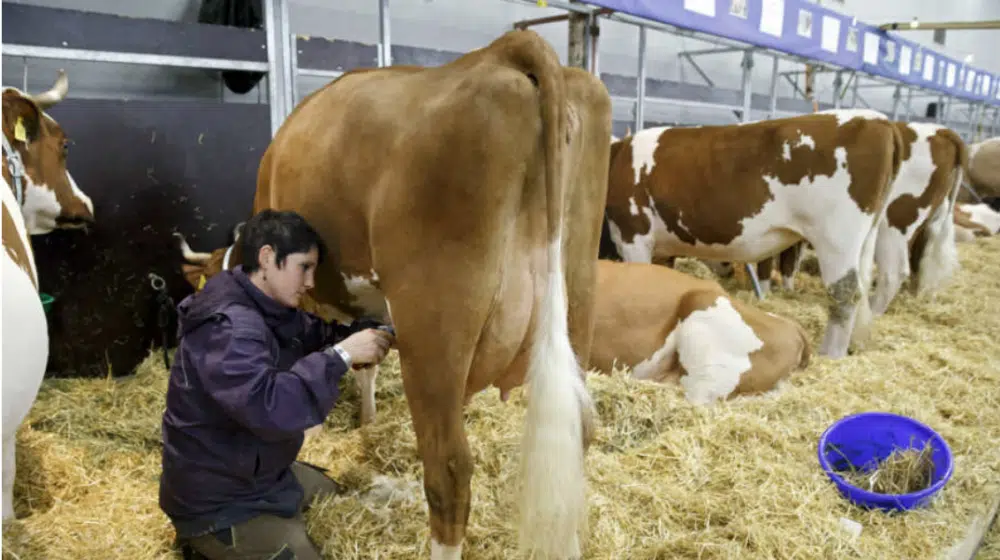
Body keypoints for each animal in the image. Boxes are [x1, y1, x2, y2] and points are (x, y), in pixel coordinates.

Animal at [181, 31, 612, 560]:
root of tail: (506, 49)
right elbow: (362, 358)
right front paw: (366, 420)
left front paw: (314, 430)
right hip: (578, 292)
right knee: (577, 438)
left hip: (435, 324)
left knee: (449, 469)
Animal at [596, 109, 904, 358]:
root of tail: (880, 120)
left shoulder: (633, 234)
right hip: (864, 237)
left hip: (836, 237)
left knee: (845, 292)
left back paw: (831, 354)